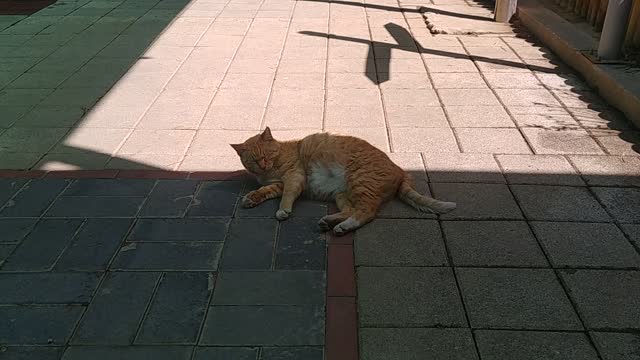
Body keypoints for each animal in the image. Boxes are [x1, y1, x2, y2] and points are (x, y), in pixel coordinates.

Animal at [232, 128, 458, 235]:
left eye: (266, 154)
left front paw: (283, 210)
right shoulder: (278, 183)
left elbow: (286, 195)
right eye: (254, 159)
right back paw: (329, 222)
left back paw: (343, 226)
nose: (263, 164)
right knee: (352, 210)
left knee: (366, 212)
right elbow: (266, 191)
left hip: (359, 181)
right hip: (342, 193)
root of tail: (400, 170)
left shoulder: (294, 178)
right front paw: (251, 198)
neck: (272, 169)